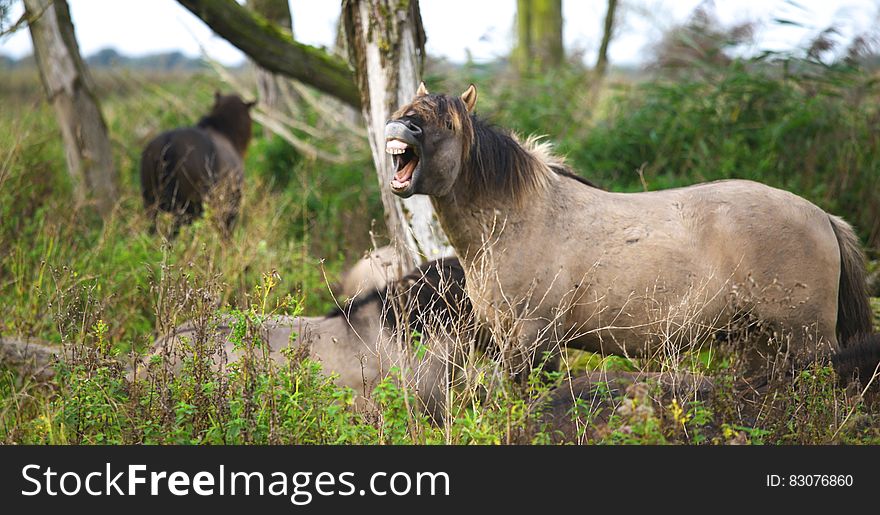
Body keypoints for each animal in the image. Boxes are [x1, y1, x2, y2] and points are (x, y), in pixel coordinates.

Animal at [384, 82, 880, 380]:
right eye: (407, 109)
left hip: (806, 342)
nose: (399, 127)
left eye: (447, 123)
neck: (517, 221)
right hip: (760, 343)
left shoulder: (532, 341)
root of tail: (824, 217)